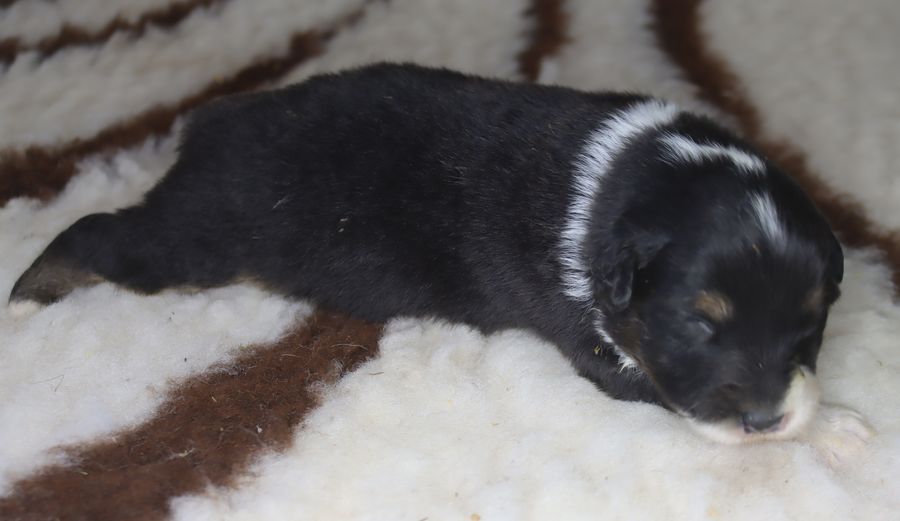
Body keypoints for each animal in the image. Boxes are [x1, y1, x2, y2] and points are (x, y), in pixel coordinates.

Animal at [9, 63, 844, 444]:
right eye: (701, 324)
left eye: (809, 326)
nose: (765, 415)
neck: (621, 183)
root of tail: (214, 124)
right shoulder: (598, 345)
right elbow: (672, 394)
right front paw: (835, 429)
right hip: (195, 236)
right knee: (101, 234)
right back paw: (29, 289)